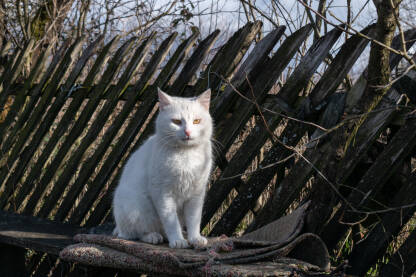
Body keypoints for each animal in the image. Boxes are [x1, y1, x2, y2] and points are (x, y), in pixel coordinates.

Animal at [112, 88, 213, 248]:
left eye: (196, 121)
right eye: (176, 121)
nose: (188, 132)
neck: (185, 155)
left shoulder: (196, 194)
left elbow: (193, 219)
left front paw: (195, 238)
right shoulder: (162, 193)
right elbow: (170, 221)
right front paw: (177, 241)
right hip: (137, 208)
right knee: (133, 234)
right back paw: (153, 236)